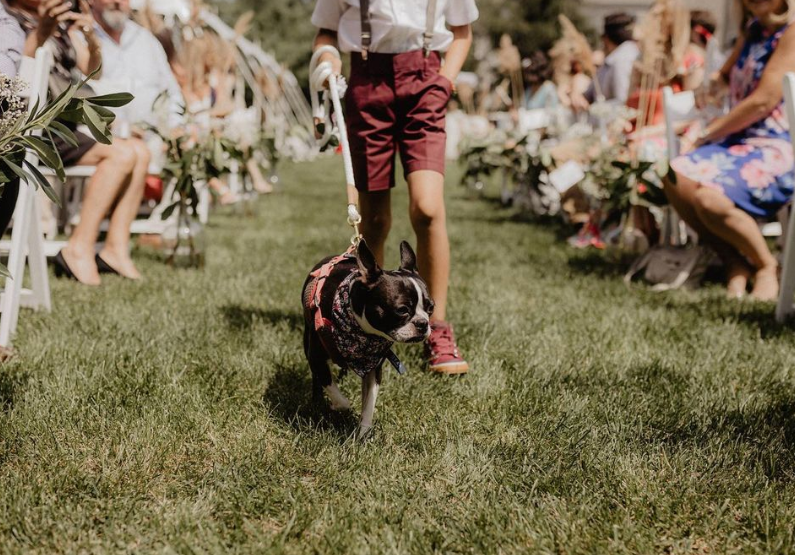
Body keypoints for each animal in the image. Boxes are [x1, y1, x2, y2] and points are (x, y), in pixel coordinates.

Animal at [302, 239, 436, 434]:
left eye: (431, 308)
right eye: (402, 310)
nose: (423, 323)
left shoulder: (373, 368)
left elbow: (369, 403)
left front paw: (364, 432)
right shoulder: (316, 357)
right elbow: (332, 387)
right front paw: (338, 405)